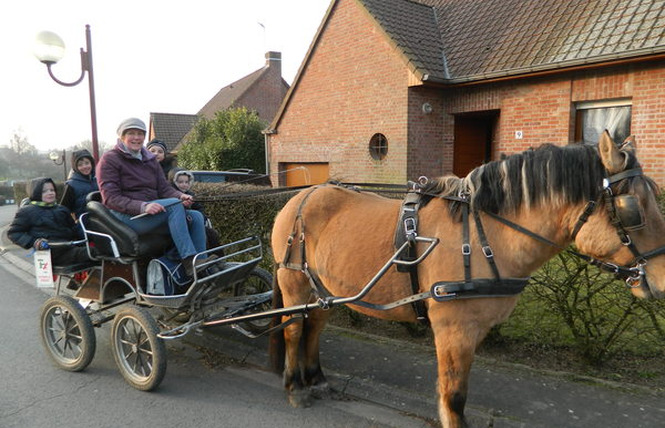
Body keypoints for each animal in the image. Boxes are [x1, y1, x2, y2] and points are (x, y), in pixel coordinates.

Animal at [268, 131, 664, 428]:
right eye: (632, 209)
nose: (661, 279)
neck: (482, 236)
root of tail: (303, 194)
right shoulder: (453, 328)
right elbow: (454, 395)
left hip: (323, 290)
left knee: (314, 326)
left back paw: (315, 378)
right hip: (294, 283)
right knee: (294, 329)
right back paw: (294, 386)